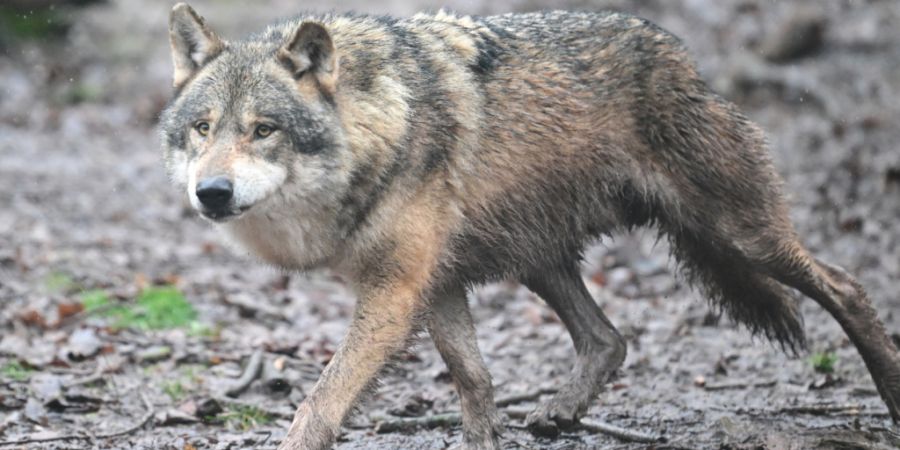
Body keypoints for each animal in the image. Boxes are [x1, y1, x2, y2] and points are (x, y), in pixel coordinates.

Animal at [159, 3, 900, 449]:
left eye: (264, 130)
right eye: (203, 129)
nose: (212, 192)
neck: (380, 127)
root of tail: (680, 55)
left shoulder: (396, 292)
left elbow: (319, 402)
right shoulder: (436, 284)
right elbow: (475, 381)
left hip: (737, 235)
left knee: (849, 288)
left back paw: (892, 398)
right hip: (536, 258)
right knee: (609, 339)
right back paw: (559, 411)